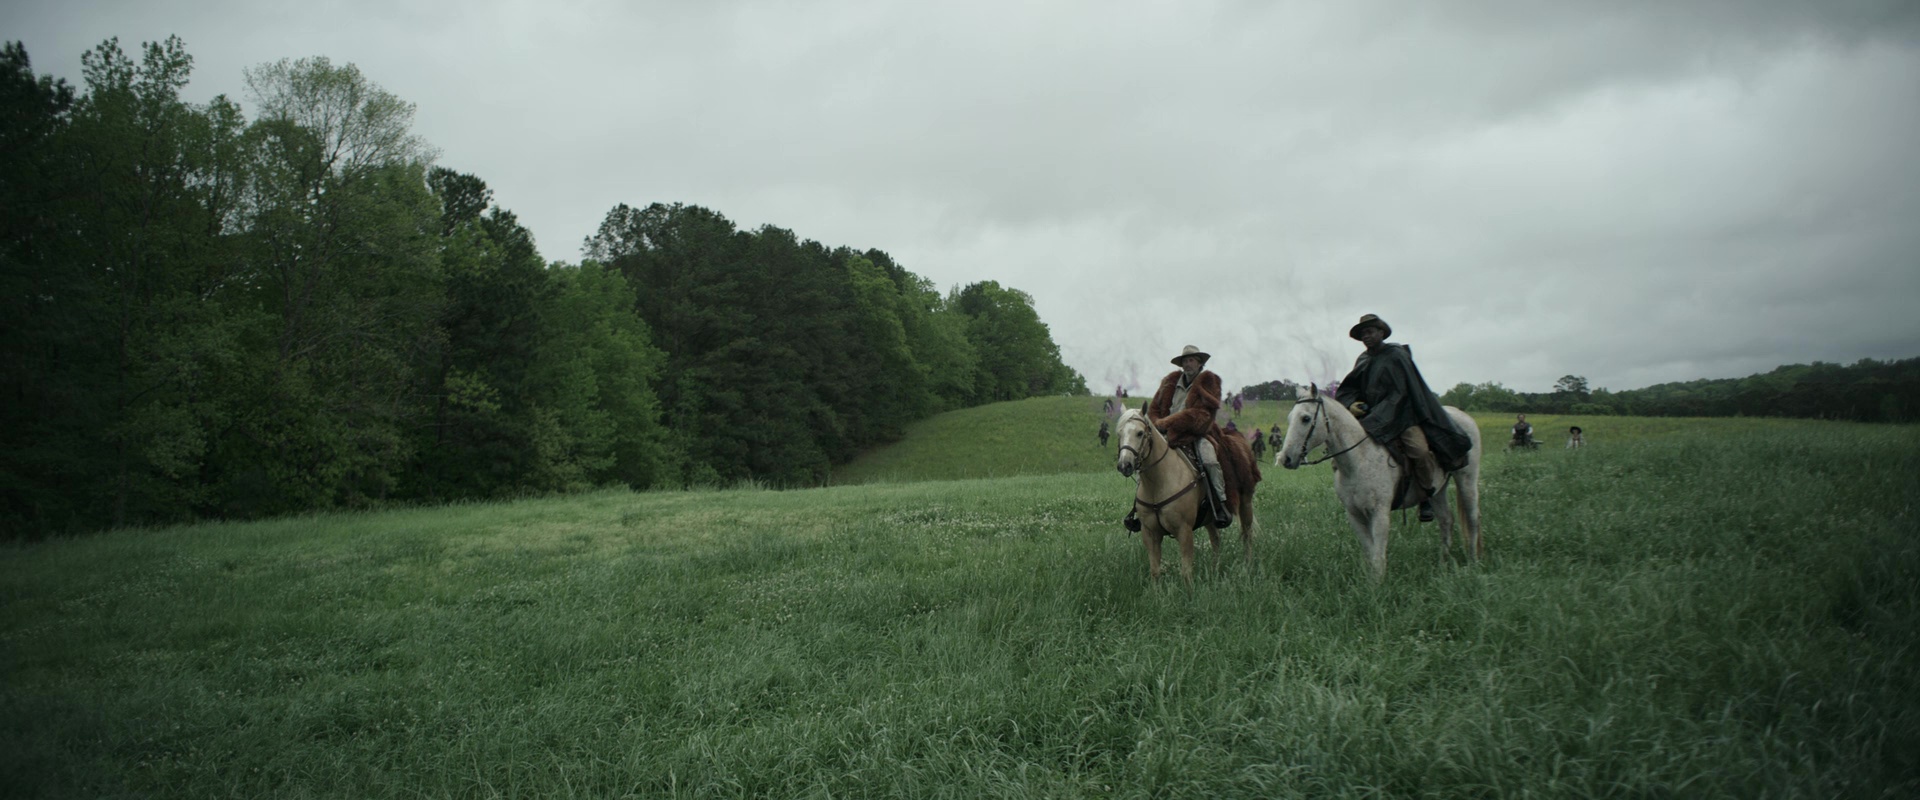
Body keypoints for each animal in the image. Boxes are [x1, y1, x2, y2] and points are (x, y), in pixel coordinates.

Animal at [1113, 408, 1259, 583]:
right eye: (1119, 433)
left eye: (1140, 433)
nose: (1124, 465)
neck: (1159, 483)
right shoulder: (1150, 533)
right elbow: (1155, 572)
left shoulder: (1184, 531)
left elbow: (1186, 573)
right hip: (1209, 518)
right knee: (1216, 539)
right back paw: (1214, 569)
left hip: (1246, 503)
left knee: (1247, 535)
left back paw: (1248, 567)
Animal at [1274, 383, 1482, 575]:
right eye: (1290, 418)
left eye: (1306, 418)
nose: (1286, 458)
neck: (1359, 459)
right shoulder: (1355, 515)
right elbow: (1370, 552)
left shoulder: (1380, 514)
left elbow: (1378, 556)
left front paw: (1378, 586)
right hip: (1438, 490)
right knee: (1446, 520)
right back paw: (1442, 564)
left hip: (1467, 480)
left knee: (1472, 519)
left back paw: (1473, 563)